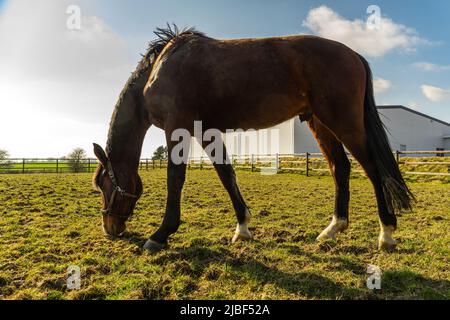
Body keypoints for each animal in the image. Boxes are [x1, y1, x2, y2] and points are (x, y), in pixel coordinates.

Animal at [93, 25, 414, 254]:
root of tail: (354, 55)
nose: (109, 228)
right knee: (340, 168)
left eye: (102, 185)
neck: (163, 66)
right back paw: (332, 229)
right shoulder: (206, 131)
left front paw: (160, 235)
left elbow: (175, 179)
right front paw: (243, 228)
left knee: (373, 170)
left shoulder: (177, 128)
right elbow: (226, 175)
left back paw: (386, 234)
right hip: (320, 123)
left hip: (343, 122)